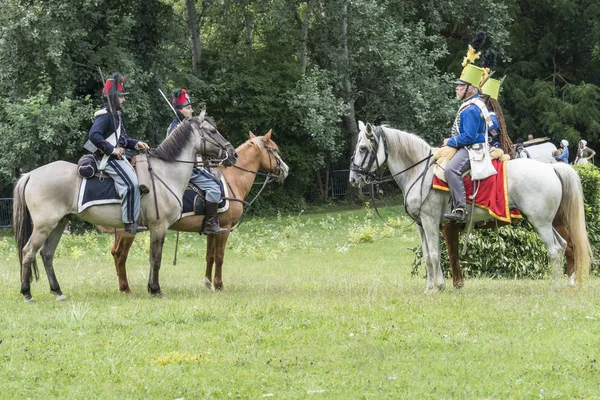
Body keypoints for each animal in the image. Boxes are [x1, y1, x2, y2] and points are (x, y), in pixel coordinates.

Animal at [12, 112, 238, 300]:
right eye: (212, 131)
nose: (232, 153)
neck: (165, 172)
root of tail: (31, 174)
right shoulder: (159, 226)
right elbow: (156, 258)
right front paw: (155, 289)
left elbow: (153, 258)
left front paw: (151, 288)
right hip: (44, 226)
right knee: (28, 252)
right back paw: (27, 293)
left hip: (59, 224)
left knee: (47, 255)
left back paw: (57, 291)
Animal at [105, 131, 288, 294]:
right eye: (274, 149)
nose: (285, 169)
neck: (233, 178)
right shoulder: (225, 228)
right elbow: (219, 257)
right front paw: (219, 285)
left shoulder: (213, 229)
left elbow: (210, 256)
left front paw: (208, 283)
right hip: (127, 231)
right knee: (120, 254)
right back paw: (125, 288)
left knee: (115, 253)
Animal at [350, 122, 592, 294]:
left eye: (362, 148)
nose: (353, 178)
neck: (420, 172)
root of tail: (551, 168)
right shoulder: (421, 225)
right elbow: (428, 255)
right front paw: (430, 287)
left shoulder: (430, 221)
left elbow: (435, 255)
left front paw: (437, 287)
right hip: (547, 222)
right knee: (564, 246)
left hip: (540, 222)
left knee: (555, 250)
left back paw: (555, 287)